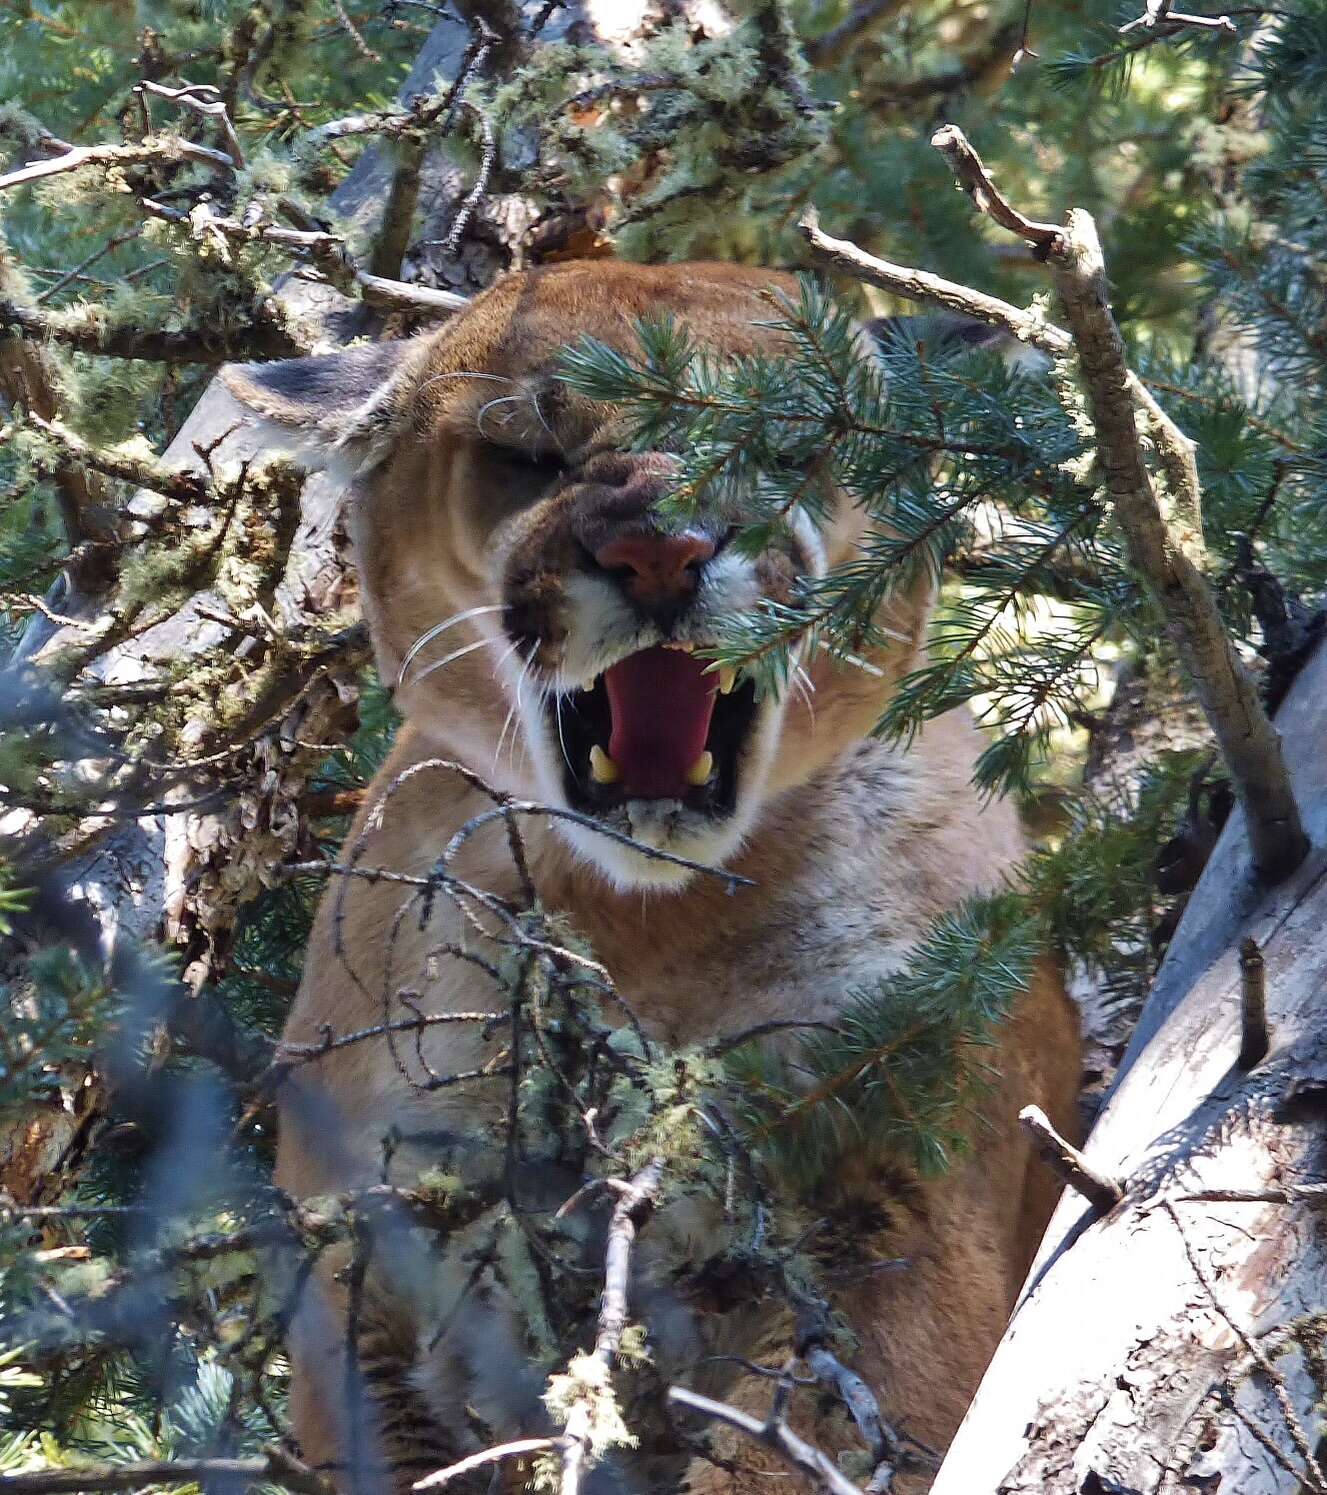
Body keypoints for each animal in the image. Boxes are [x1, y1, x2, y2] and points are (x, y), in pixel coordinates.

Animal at [224, 259, 1080, 1495]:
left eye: (789, 437)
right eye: (531, 454)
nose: (661, 552)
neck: (637, 926)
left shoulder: (899, 1197)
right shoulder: (375, 1267)